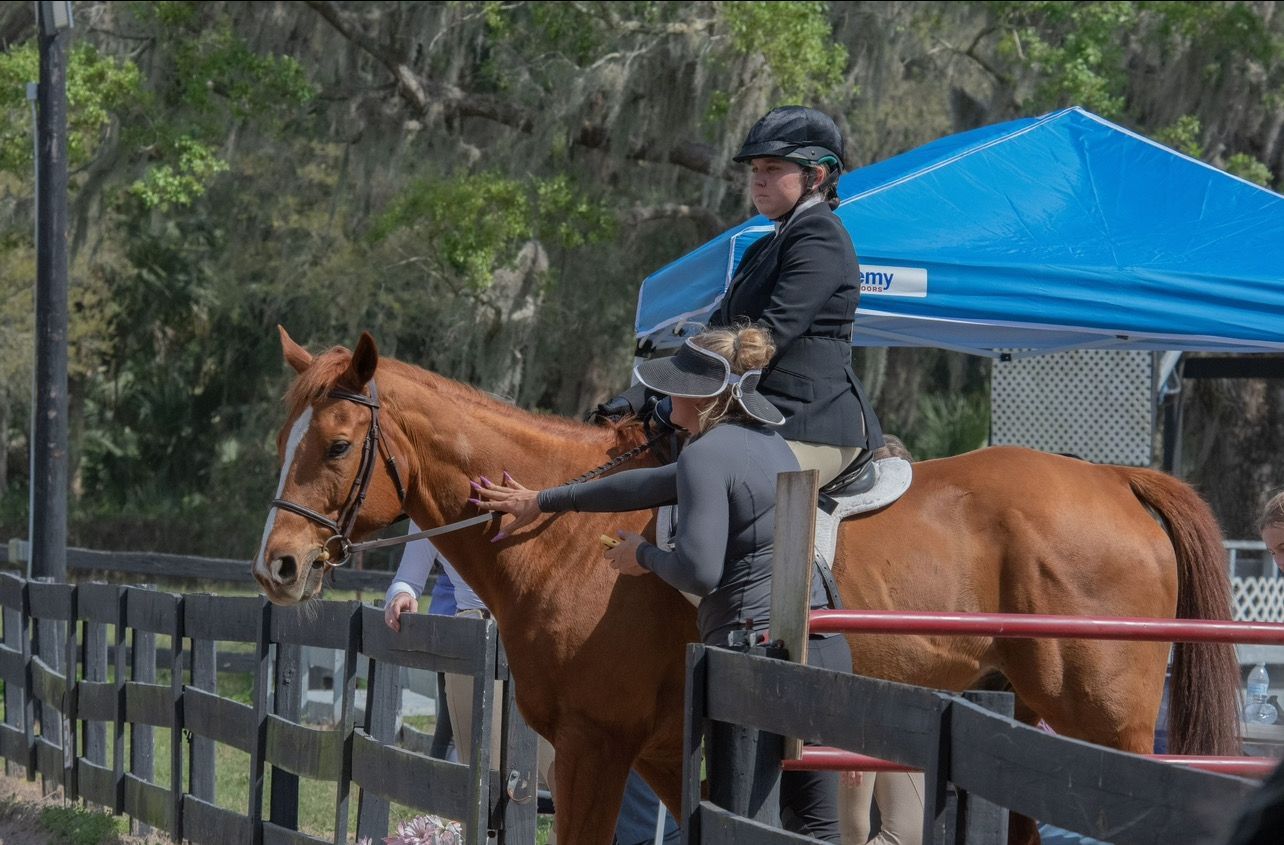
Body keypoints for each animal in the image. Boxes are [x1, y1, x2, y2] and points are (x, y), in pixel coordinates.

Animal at [255, 328, 1239, 845]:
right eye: (283, 438)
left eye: (336, 444)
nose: (280, 566)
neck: (570, 534)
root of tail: (1117, 480)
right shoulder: (660, 748)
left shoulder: (593, 744)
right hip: (1033, 722)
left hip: (1107, 729)